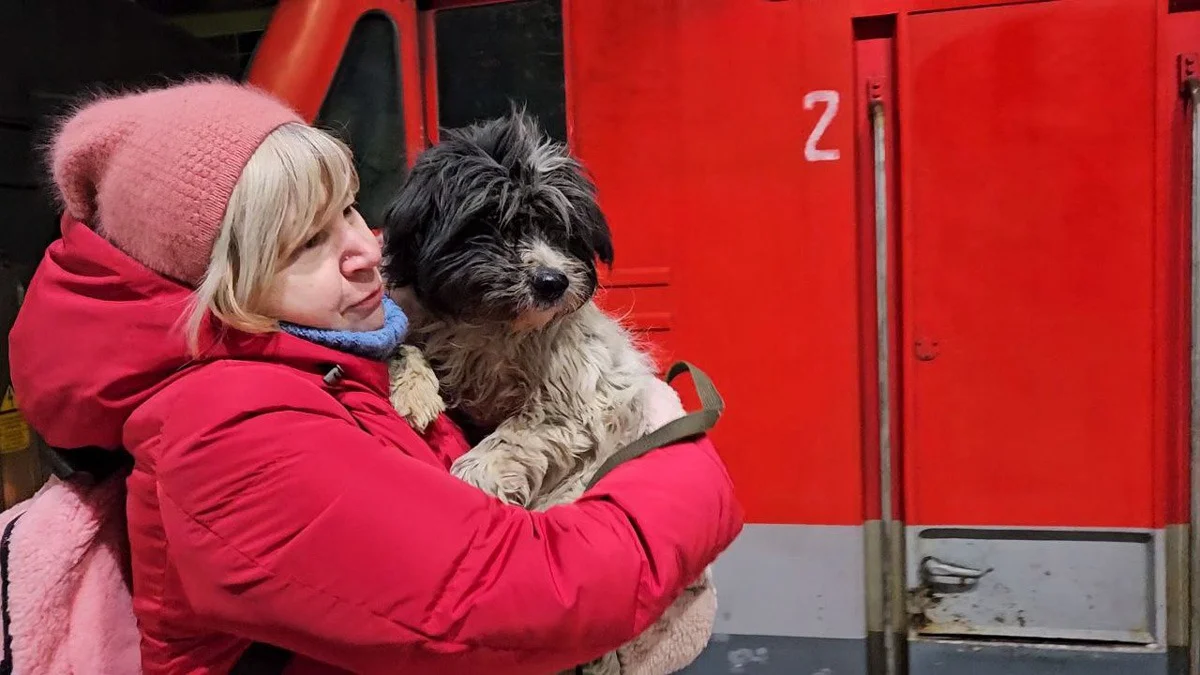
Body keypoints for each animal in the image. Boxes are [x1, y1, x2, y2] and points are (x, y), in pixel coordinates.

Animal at [381, 110, 710, 672]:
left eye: (560, 228)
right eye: (489, 223)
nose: (553, 282)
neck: (490, 328)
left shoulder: (567, 409)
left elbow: (500, 446)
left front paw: (472, 486)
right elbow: (405, 342)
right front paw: (415, 391)